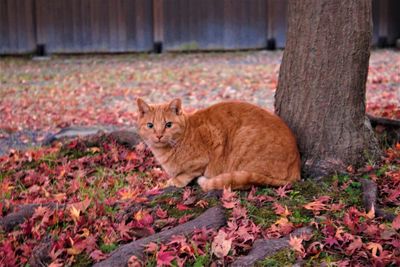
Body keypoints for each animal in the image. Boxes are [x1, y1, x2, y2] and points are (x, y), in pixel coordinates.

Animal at [136, 99, 298, 192]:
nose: (158, 135)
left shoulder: (206, 152)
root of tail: (296, 169)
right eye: (150, 125)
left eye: (168, 125)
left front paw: (175, 181)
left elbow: (187, 173)